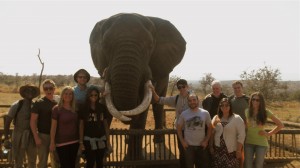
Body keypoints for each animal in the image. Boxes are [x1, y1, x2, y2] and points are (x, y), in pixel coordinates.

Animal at [89, 12, 185, 159]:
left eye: (150, 46)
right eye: (105, 46)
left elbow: (142, 111)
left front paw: (133, 160)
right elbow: (106, 106)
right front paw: (104, 154)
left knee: (157, 105)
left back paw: (158, 141)